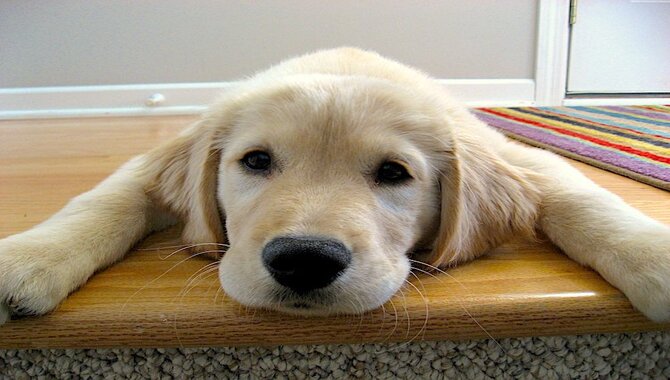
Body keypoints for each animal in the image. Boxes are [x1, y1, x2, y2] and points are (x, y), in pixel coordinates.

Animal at [1, 47, 670, 324]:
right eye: (256, 161)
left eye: (394, 174)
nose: (303, 260)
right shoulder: (151, 163)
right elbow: (104, 200)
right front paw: (28, 259)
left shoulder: (523, 158)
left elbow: (584, 199)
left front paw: (654, 257)